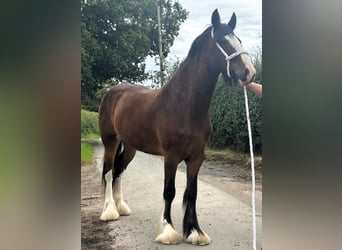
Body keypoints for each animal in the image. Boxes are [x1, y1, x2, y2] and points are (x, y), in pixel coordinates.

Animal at [97, 8, 255, 245]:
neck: (183, 105)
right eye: (222, 41)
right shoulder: (171, 157)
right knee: (108, 172)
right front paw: (168, 231)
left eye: (239, 40)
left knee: (119, 171)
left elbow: (191, 192)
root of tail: (112, 92)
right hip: (110, 141)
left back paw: (121, 207)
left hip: (131, 147)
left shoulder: (197, 157)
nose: (249, 72)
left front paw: (194, 232)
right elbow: (169, 191)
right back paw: (109, 211)